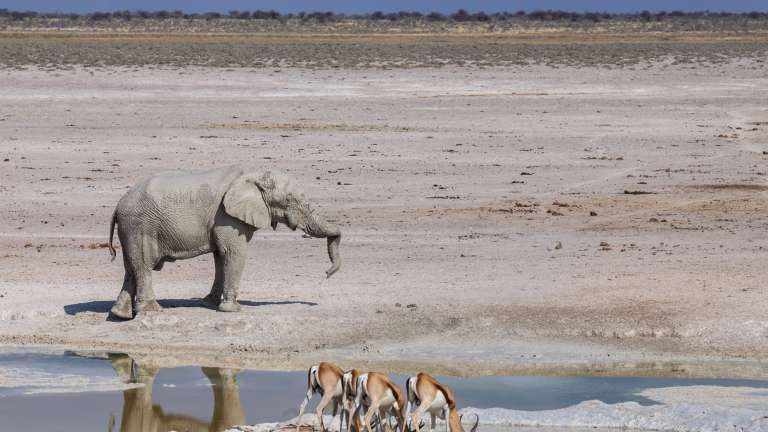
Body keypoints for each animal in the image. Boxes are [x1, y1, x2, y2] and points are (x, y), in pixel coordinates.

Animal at [107, 165, 341, 319]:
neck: (254, 174)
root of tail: (118, 206)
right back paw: (151, 311)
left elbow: (220, 256)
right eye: (290, 200)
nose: (327, 274)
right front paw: (233, 310)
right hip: (140, 226)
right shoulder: (227, 216)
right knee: (143, 266)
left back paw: (120, 314)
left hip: (131, 229)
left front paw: (208, 302)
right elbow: (234, 253)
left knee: (131, 267)